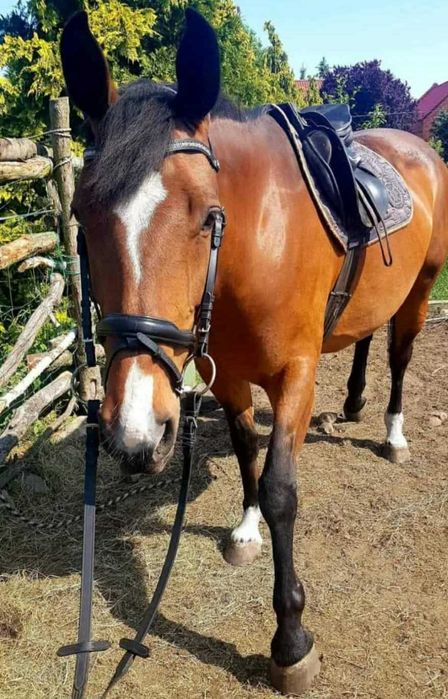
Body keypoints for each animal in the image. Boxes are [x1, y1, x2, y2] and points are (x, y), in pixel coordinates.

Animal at [60, 8, 448, 695]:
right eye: (83, 213)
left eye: (208, 216)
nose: (134, 435)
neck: (250, 252)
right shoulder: (226, 375)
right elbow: (246, 452)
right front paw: (244, 531)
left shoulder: (294, 376)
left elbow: (280, 490)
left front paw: (291, 641)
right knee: (365, 337)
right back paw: (354, 404)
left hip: (422, 286)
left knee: (400, 354)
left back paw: (393, 432)